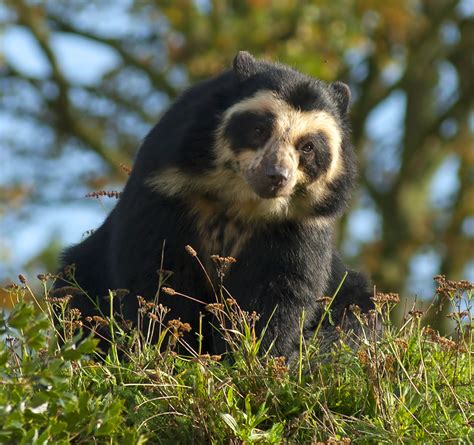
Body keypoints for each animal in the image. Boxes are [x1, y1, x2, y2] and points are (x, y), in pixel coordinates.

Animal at [55, 51, 374, 358]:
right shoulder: (167, 190)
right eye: (259, 130)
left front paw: (255, 353)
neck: (240, 201)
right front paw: (169, 349)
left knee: (357, 320)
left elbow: (278, 291)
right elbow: (159, 273)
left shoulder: (297, 225)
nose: (276, 177)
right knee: (75, 295)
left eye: (308, 147)